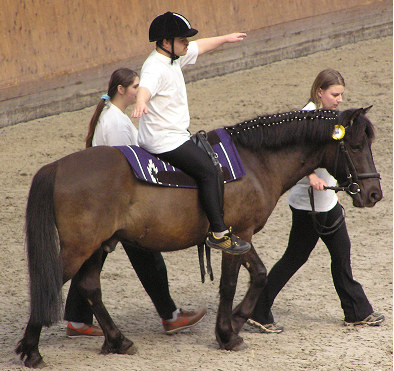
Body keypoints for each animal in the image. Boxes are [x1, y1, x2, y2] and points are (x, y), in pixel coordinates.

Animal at [16, 107, 382, 370]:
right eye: (355, 145)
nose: (374, 193)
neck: (255, 161)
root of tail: (57, 167)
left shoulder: (240, 237)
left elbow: (259, 275)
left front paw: (237, 321)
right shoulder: (238, 234)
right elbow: (231, 284)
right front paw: (228, 333)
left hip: (97, 246)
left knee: (90, 286)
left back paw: (118, 341)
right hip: (80, 248)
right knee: (50, 285)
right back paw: (31, 350)